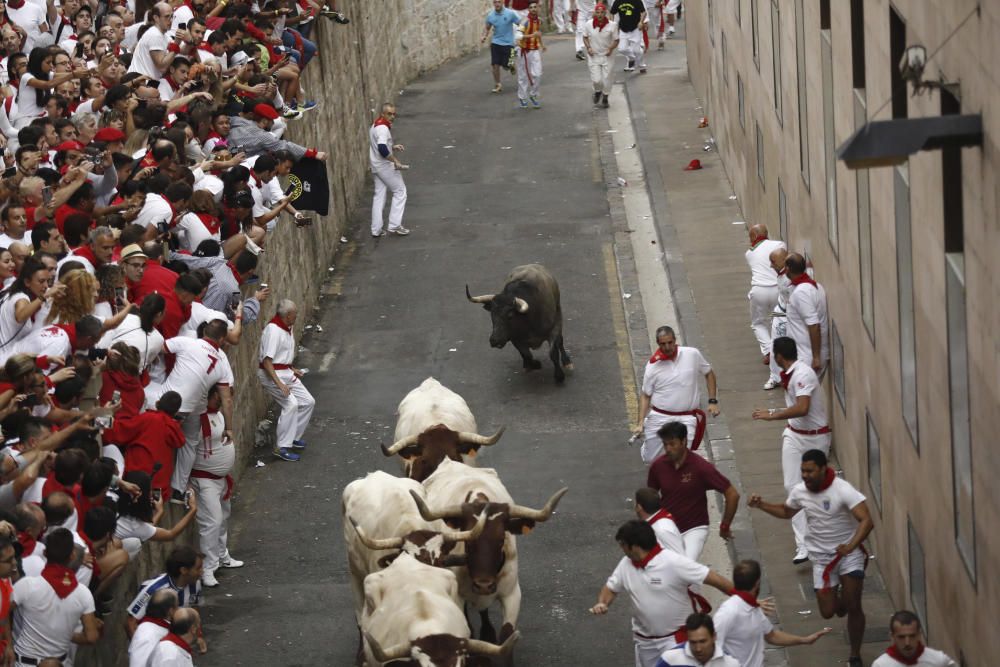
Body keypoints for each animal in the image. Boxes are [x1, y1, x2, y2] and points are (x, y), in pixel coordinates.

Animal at [410, 460, 568, 648]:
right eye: (468, 542)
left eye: (501, 539)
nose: (483, 585)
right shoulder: (458, 596)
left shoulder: (512, 593)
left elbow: (506, 634)